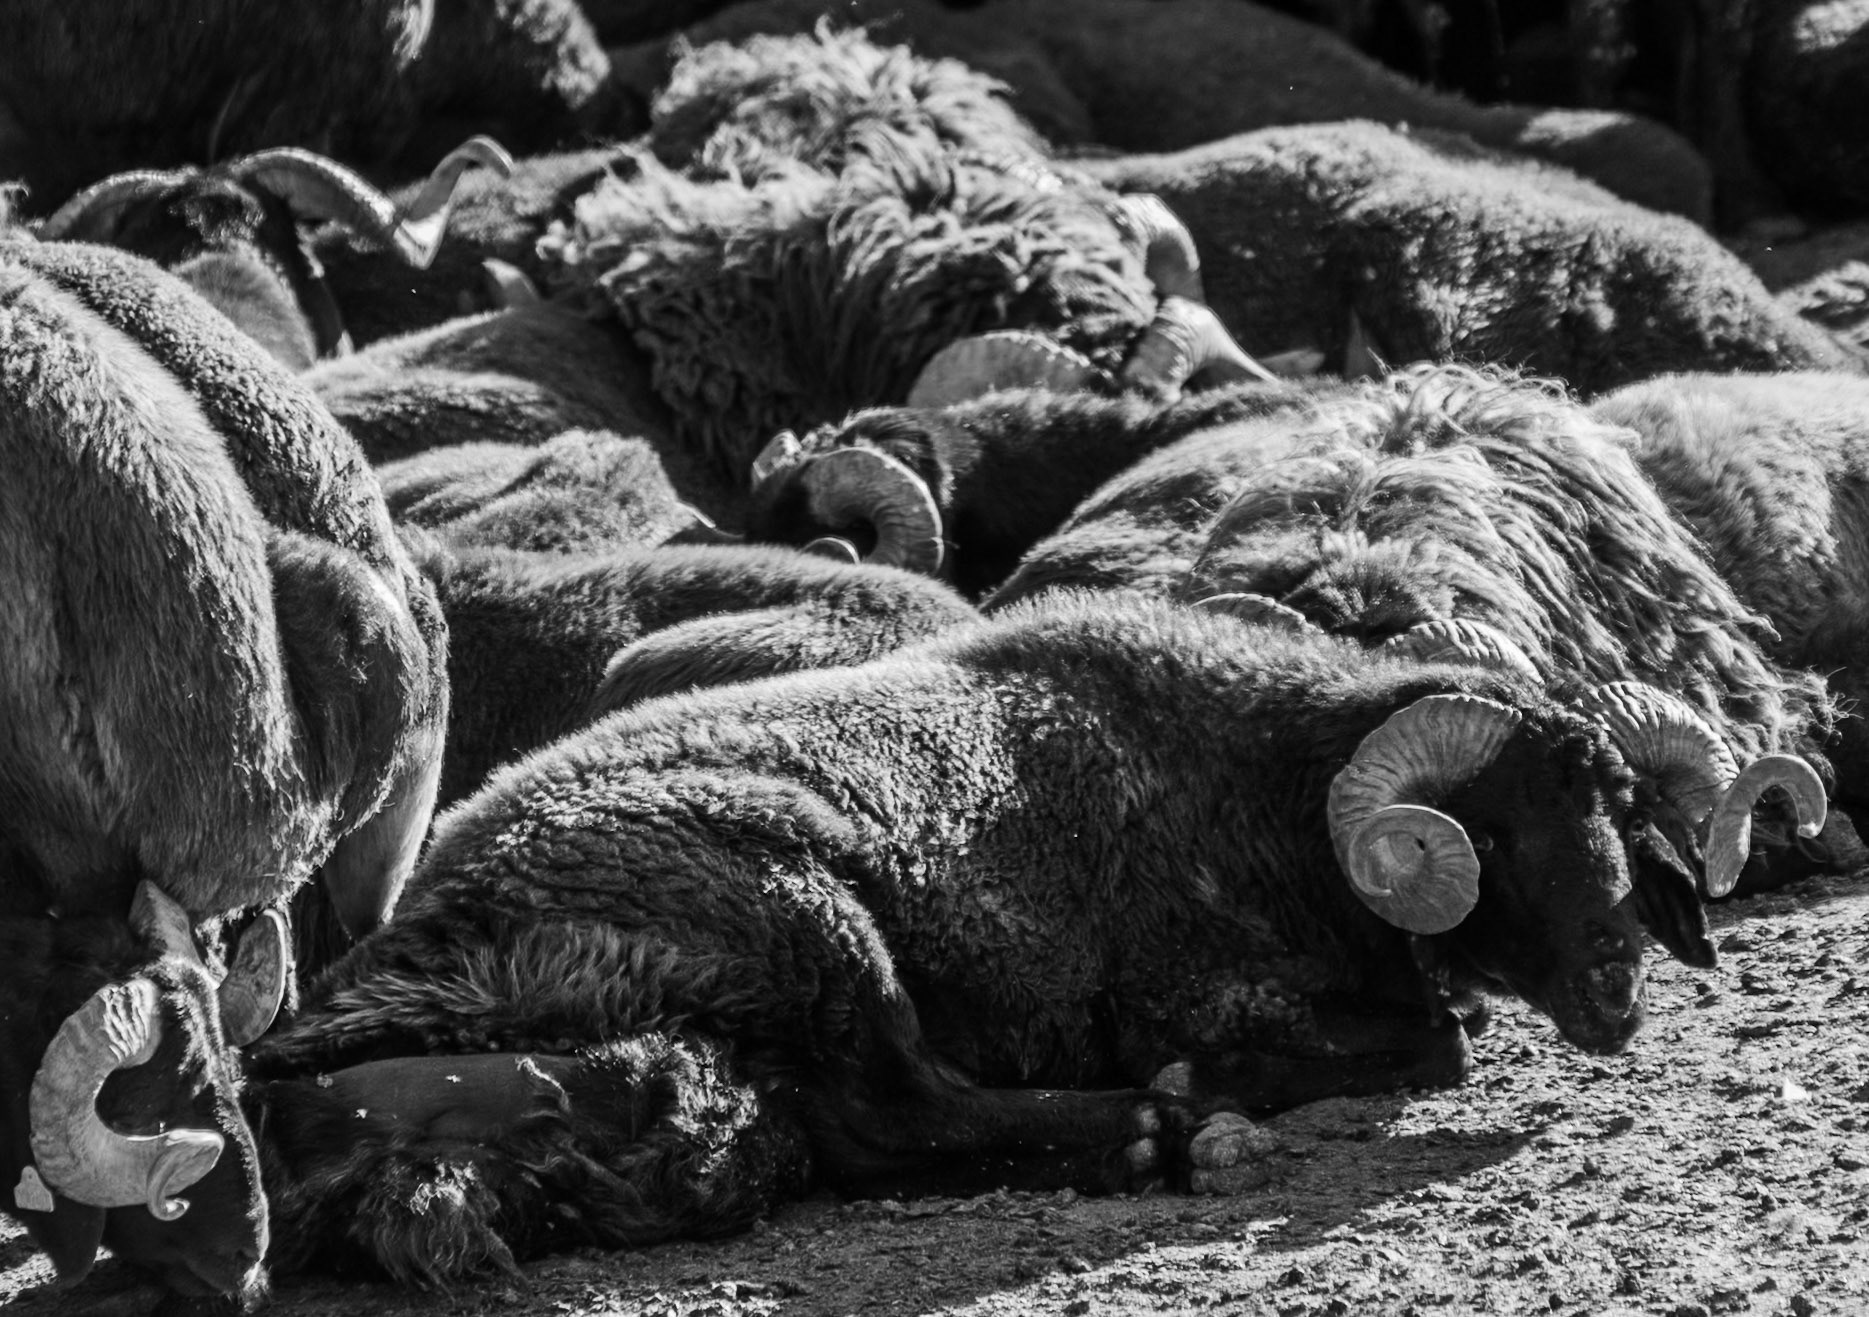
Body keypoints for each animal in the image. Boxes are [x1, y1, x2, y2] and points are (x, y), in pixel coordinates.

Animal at [243, 591, 1724, 1284]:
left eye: (1617, 807)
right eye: (1503, 830)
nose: (1620, 990)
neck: (1260, 791)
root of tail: (432, 926)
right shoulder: (1196, 992)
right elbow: (1433, 1046)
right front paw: (1206, 1091)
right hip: (803, 914)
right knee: (896, 1110)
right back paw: (1151, 1131)